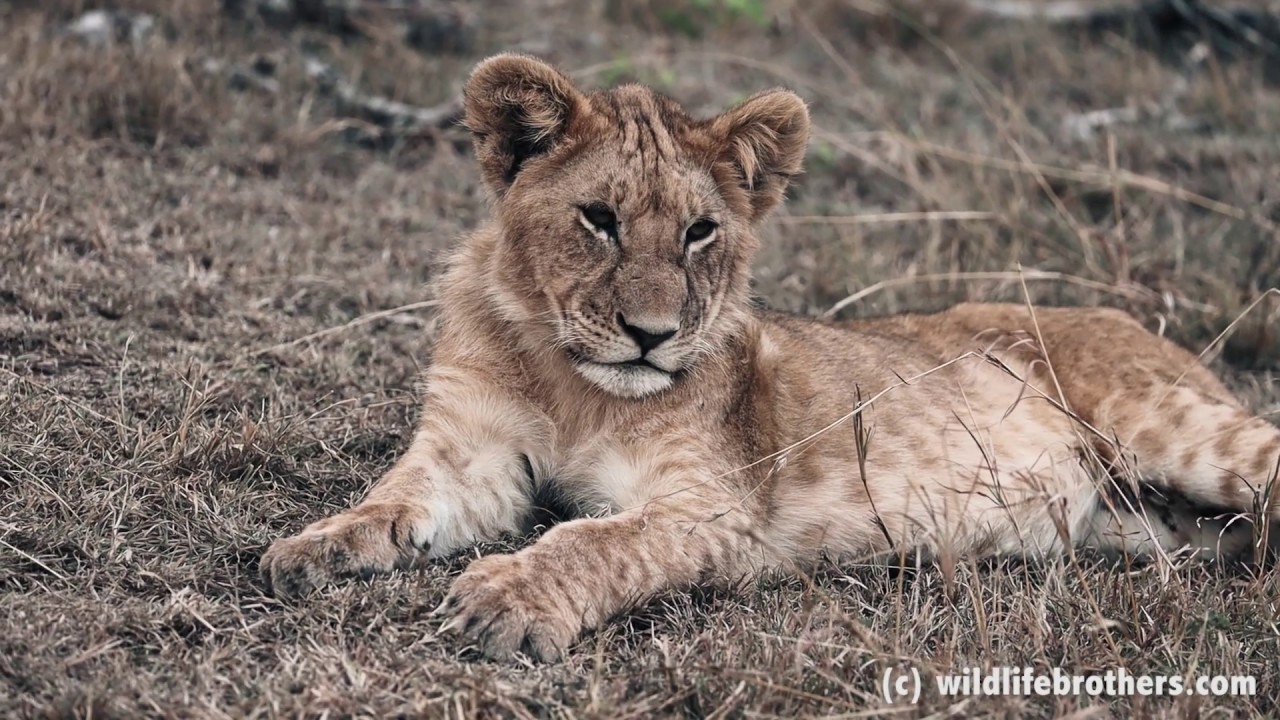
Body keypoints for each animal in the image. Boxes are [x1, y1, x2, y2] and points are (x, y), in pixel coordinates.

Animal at [261, 54, 1280, 661]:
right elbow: (394, 501)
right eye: (599, 219)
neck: (569, 380)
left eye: (701, 232)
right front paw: (309, 549)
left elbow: (593, 539)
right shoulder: (471, 455)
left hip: (1169, 425)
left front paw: (506, 598)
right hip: (1149, 529)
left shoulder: (714, 507)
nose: (651, 334)